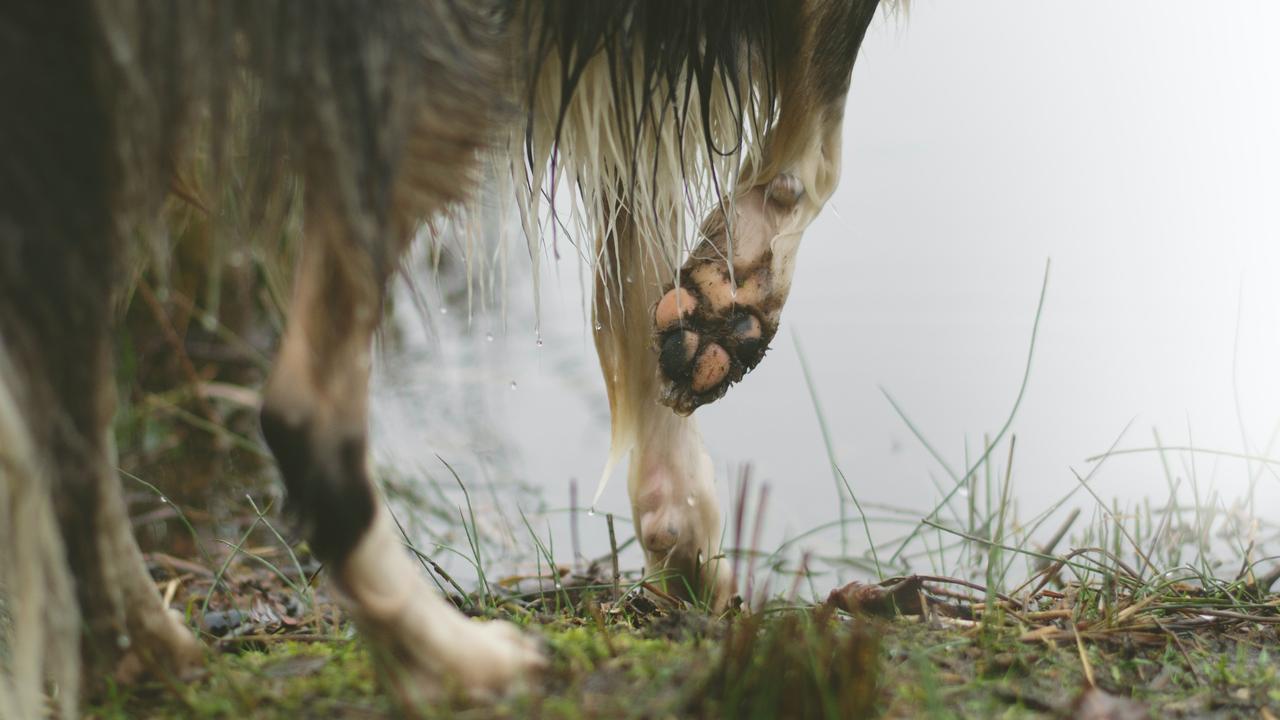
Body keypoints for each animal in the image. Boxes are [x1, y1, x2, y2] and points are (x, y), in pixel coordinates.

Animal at [0, 0, 890, 712]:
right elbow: (822, 127)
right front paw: (736, 293)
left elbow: (638, 224)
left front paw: (684, 532)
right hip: (420, 60)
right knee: (301, 411)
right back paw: (453, 663)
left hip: (90, 115)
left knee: (71, 417)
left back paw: (148, 652)